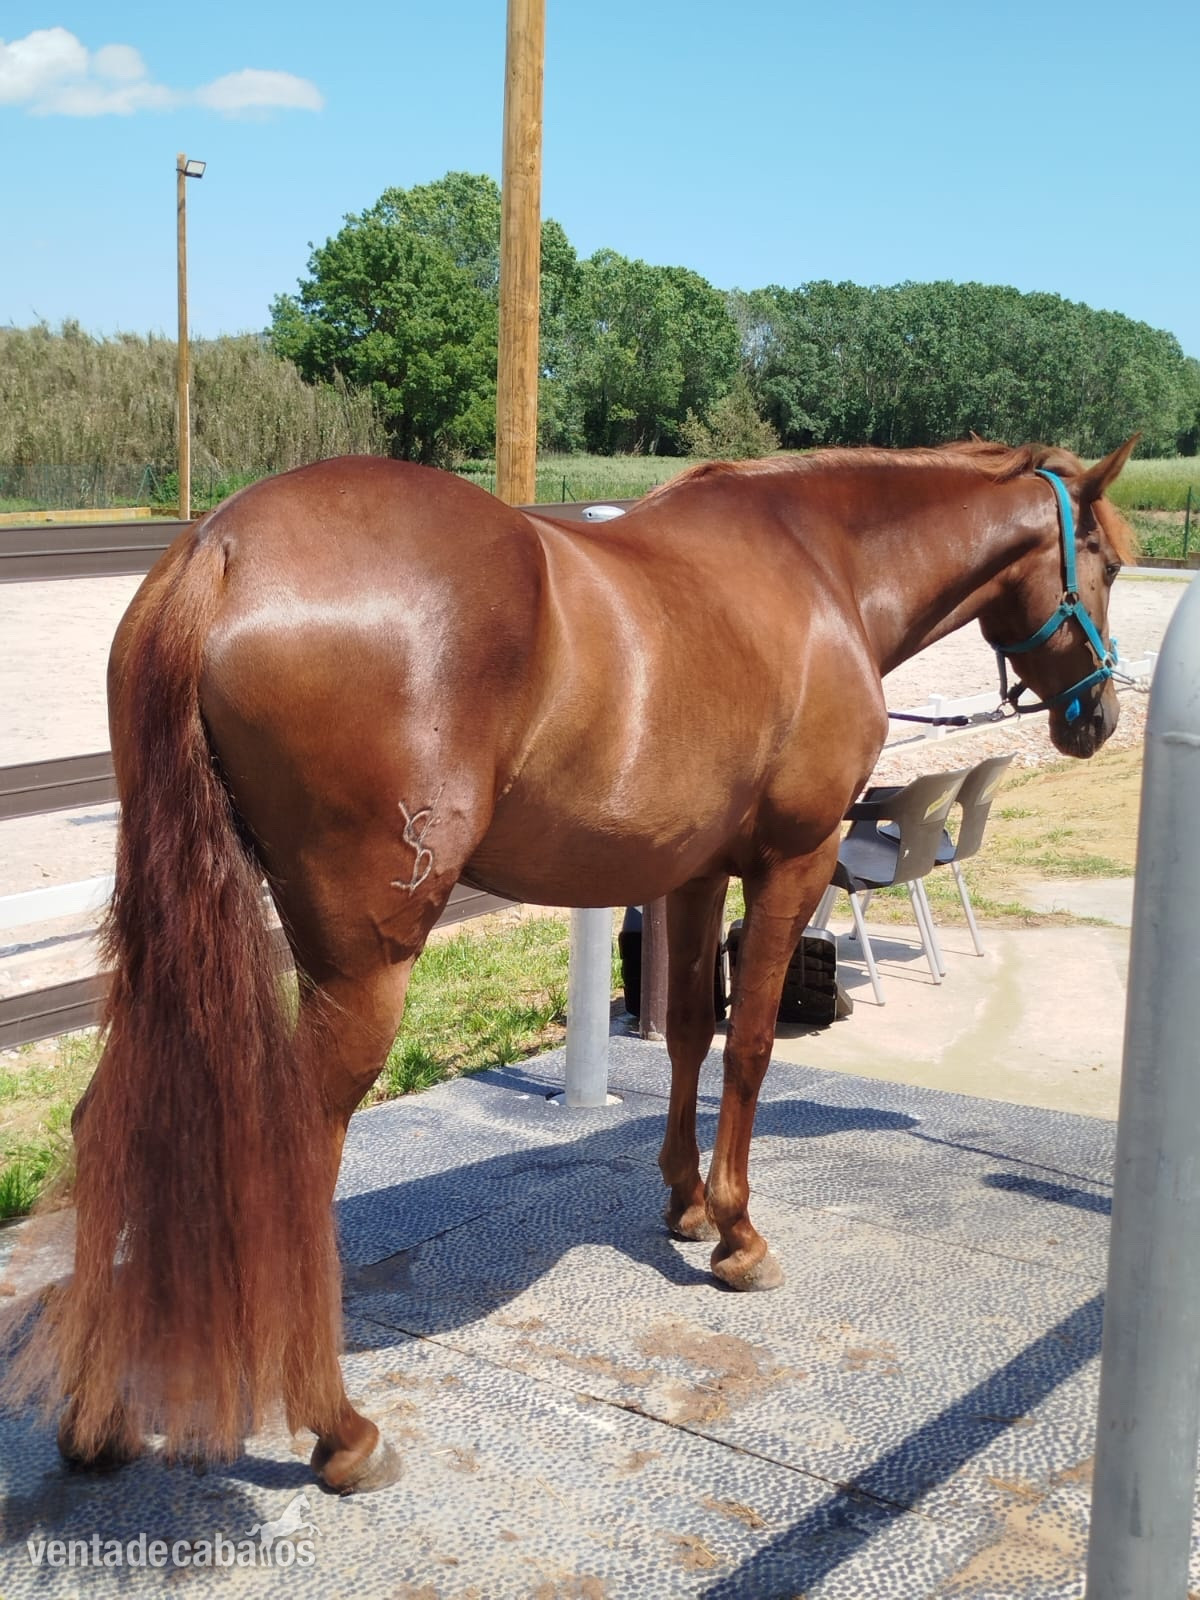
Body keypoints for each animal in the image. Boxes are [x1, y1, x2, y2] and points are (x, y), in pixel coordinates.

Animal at [15, 435, 1136, 1494]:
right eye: (1114, 562)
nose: (1101, 715)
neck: (823, 566)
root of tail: (223, 547)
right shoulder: (795, 859)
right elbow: (752, 1044)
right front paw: (739, 1235)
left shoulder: (692, 870)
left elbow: (689, 1030)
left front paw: (687, 1204)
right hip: (362, 960)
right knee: (292, 1144)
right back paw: (339, 1429)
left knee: (107, 1120)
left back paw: (95, 1416)